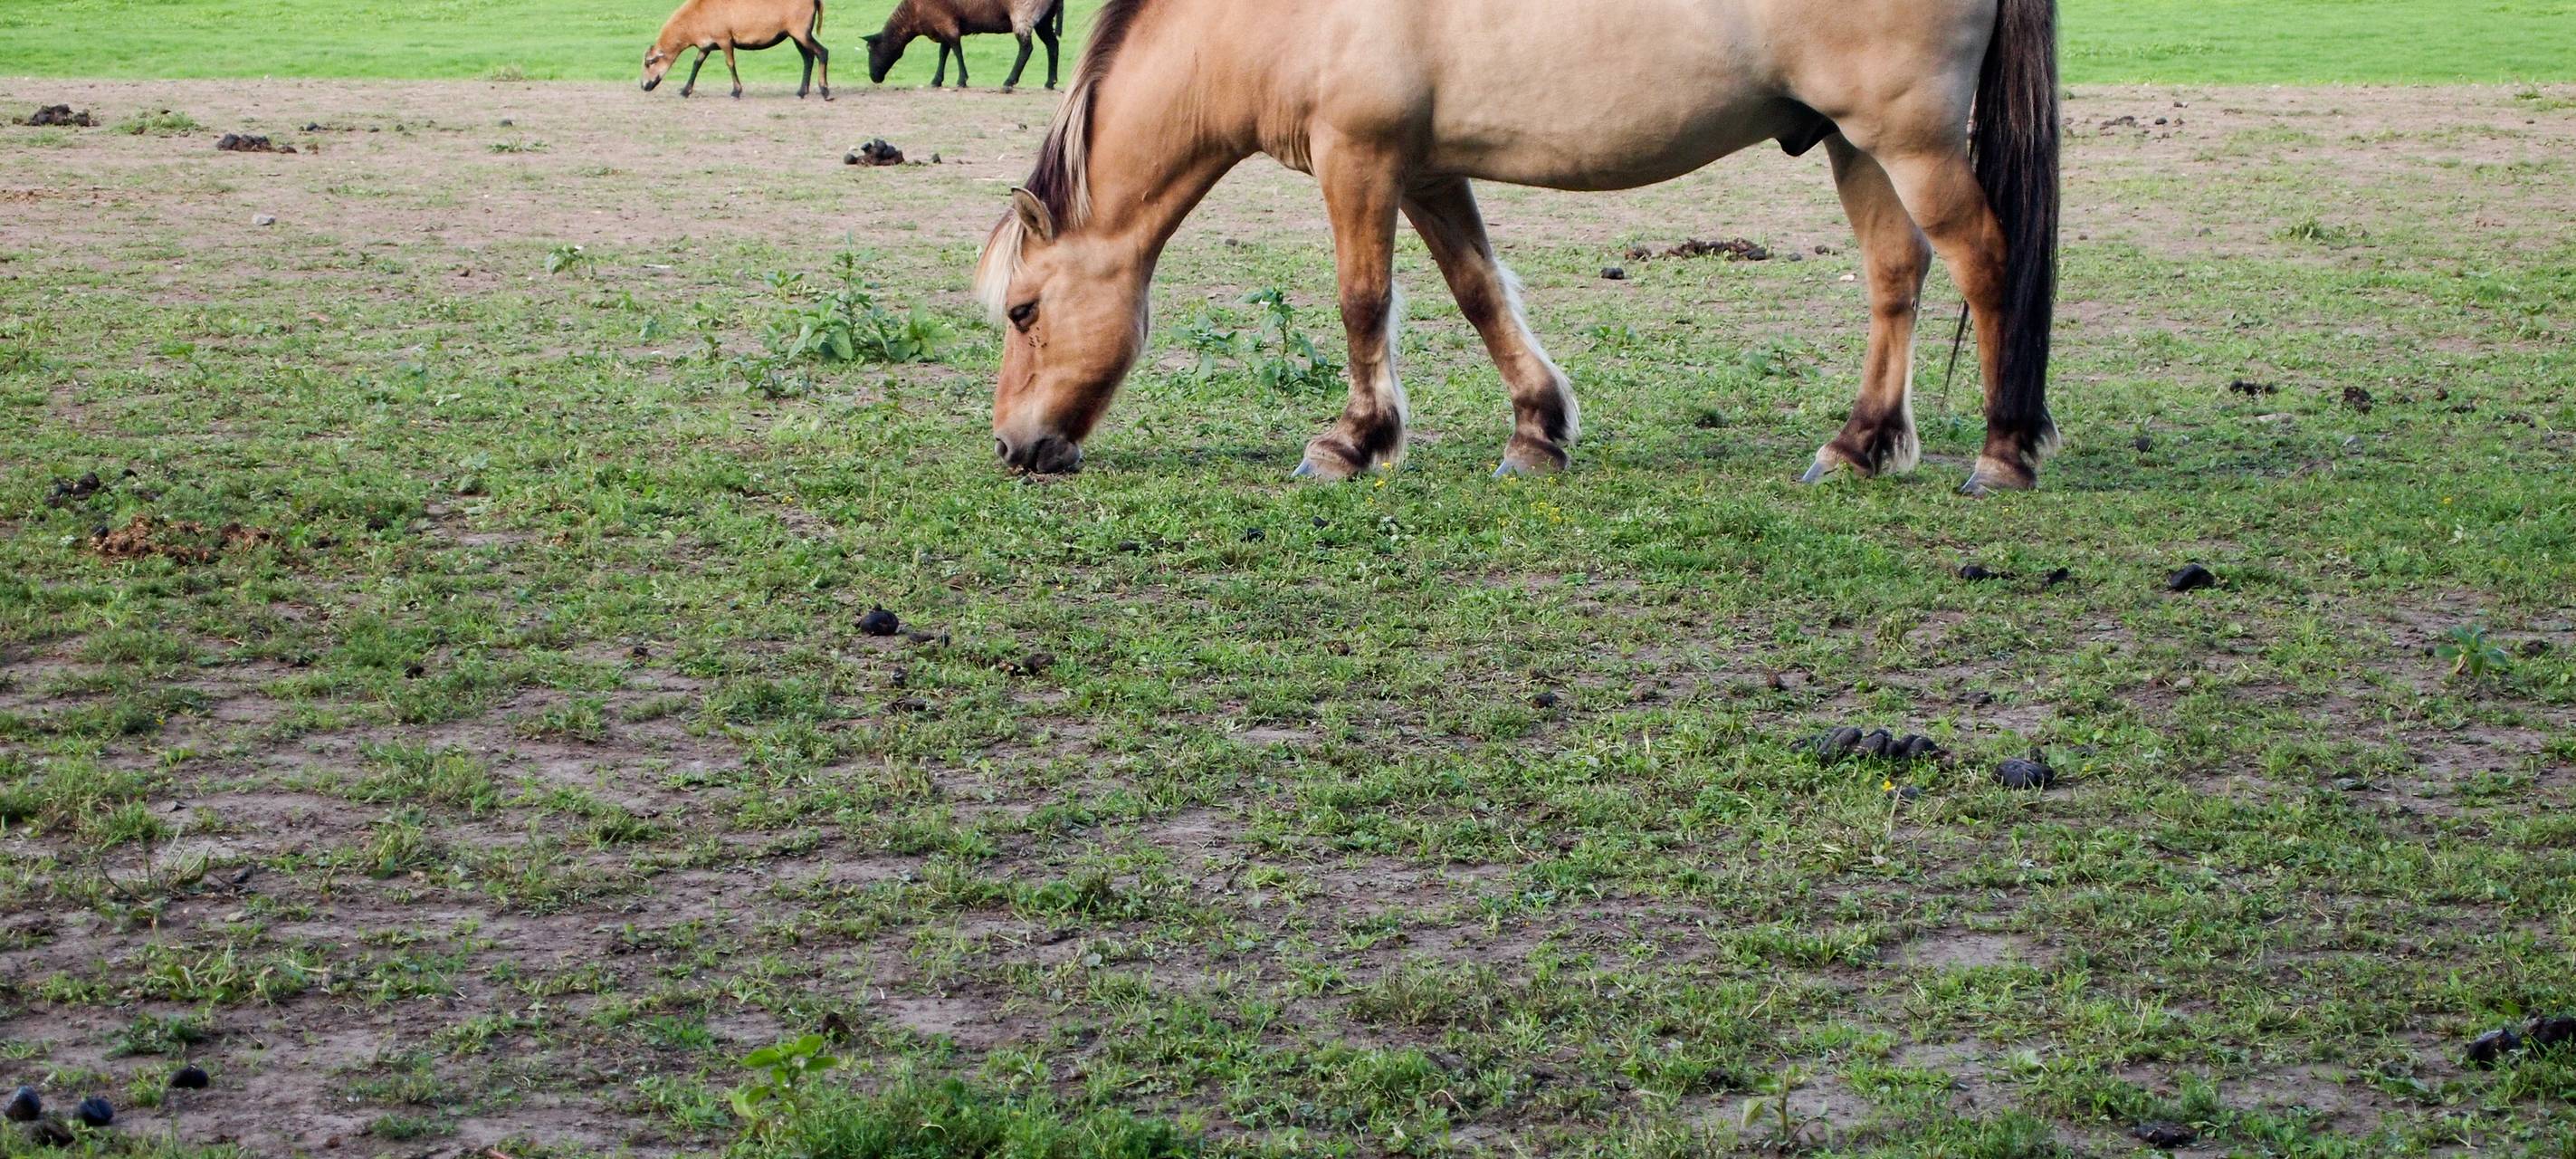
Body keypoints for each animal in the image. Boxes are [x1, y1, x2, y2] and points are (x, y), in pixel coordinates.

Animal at [640, 0, 831, 100]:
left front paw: (736, 91)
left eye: (650, 62)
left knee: (822, 52)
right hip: (796, 34)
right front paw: (685, 91)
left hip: (800, 32)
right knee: (808, 58)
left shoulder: (724, 39)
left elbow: (730, 63)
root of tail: (814, 1)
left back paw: (825, 91)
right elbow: (697, 63)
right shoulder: (707, 45)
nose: (643, 86)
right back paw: (801, 92)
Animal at [865, 0, 1068, 91]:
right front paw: (937, 80)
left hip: (1024, 12)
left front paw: (961, 80)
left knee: (1026, 48)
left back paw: (1009, 81)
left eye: (870, 50)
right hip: (1044, 19)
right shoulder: (943, 24)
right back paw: (1050, 82)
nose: (873, 77)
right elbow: (944, 52)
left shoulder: (946, 23)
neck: (912, 13)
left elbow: (956, 50)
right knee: (1053, 45)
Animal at [975, 0, 2062, 495]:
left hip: (1906, 142)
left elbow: (1361, 302)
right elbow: (1477, 291)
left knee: (1984, 260)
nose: (1012, 448)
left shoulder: (1358, 160)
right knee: (1896, 274)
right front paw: (1537, 431)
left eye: (1024, 311)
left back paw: (2004, 447)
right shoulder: (1423, 172)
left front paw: (1349, 441)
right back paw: (1858, 443)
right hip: (1854, 142)